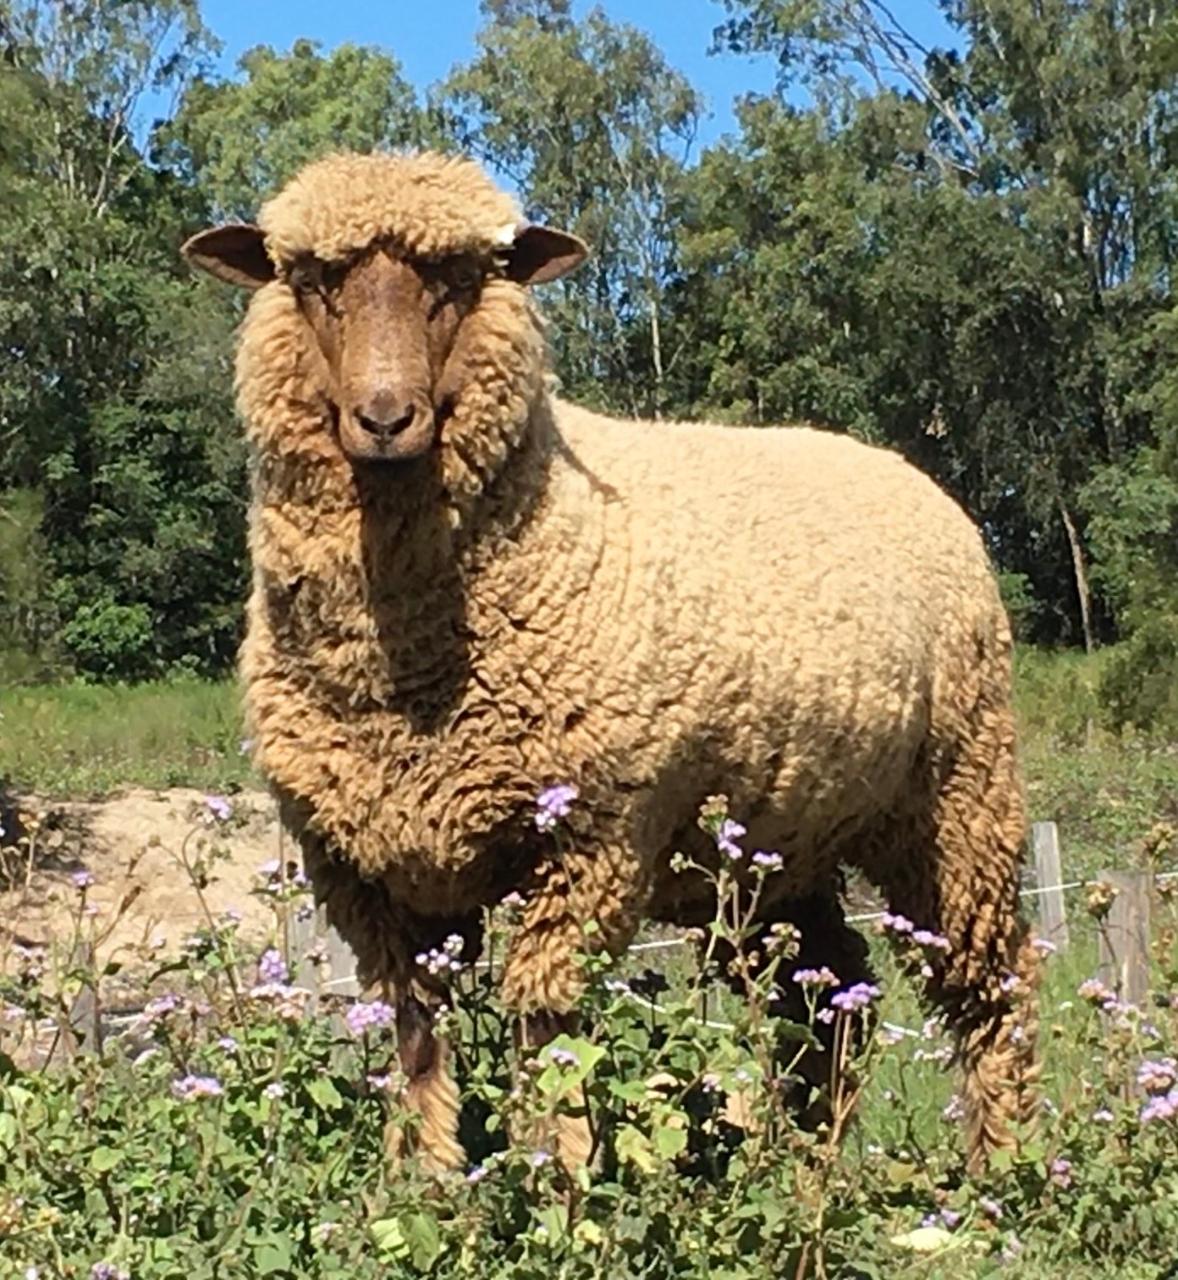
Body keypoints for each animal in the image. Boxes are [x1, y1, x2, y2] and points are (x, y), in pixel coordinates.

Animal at [181, 148, 1040, 1178]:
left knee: (990, 989)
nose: (385, 417)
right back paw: (808, 1165)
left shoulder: (591, 836)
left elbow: (544, 1024)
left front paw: (557, 1177)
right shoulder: (361, 863)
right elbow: (412, 1030)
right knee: (832, 998)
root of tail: (900, 466)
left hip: (958, 794)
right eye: (311, 280)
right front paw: (420, 1182)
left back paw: (1006, 1170)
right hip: (775, 843)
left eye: (460, 278)